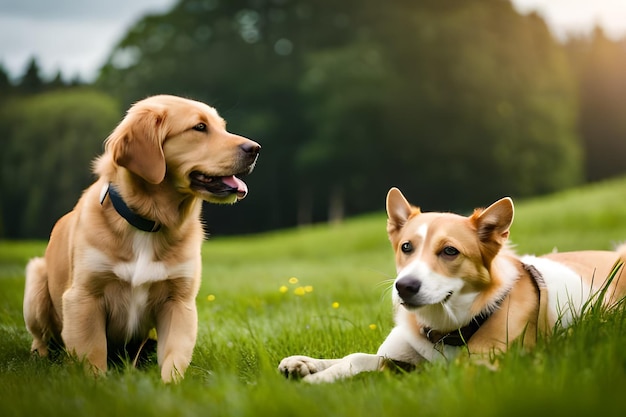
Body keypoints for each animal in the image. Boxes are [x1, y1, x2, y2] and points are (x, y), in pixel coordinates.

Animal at [24, 94, 258, 380]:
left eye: (222, 127)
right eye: (199, 127)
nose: (256, 148)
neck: (149, 224)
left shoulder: (179, 301)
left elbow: (174, 357)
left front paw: (171, 386)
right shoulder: (83, 296)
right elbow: (93, 353)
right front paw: (95, 385)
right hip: (35, 283)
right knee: (41, 338)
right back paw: (39, 356)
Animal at [280, 187, 624, 382]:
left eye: (450, 251)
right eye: (406, 247)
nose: (404, 287)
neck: (445, 327)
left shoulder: (478, 366)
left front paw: (314, 381)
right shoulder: (398, 352)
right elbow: (355, 358)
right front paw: (306, 365)